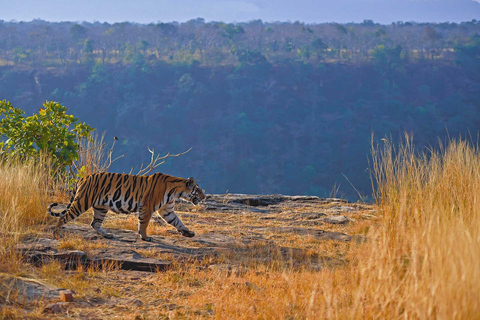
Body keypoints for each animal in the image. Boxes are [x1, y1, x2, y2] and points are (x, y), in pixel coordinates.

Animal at [47, 174, 205, 241]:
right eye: (198, 190)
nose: (204, 197)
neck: (177, 191)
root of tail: (83, 177)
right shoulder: (147, 206)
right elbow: (144, 223)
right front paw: (145, 237)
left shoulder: (166, 210)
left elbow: (177, 221)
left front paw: (188, 233)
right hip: (82, 202)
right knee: (63, 216)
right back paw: (56, 234)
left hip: (101, 207)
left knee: (95, 223)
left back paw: (107, 235)